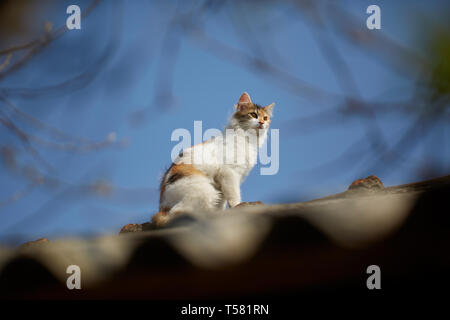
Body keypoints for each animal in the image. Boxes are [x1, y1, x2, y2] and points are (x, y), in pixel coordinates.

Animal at [151, 92, 274, 228]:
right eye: (253, 114)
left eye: (265, 118)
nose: (262, 122)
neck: (248, 139)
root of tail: (162, 206)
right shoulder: (229, 173)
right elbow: (234, 195)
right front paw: (238, 205)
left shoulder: (228, 181)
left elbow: (225, 200)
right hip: (206, 191)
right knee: (176, 213)